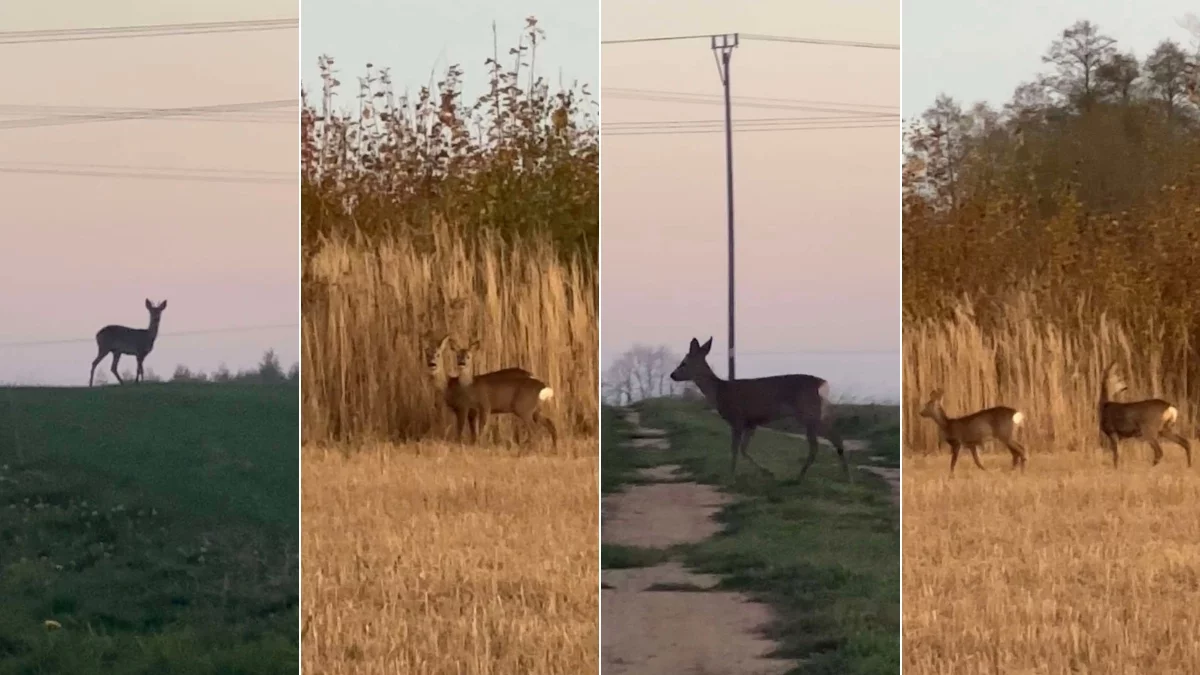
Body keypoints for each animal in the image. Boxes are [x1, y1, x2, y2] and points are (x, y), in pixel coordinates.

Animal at [667, 336, 854, 478]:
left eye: (683, 363)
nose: (672, 375)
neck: (720, 392)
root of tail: (822, 384)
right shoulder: (751, 422)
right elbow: (743, 449)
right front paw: (767, 472)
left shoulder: (737, 418)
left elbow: (735, 449)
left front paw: (731, 474)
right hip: (814, 414)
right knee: (834, 437)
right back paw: (844, 476)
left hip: (808, 412)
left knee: (821, 443)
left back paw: (803, 476)